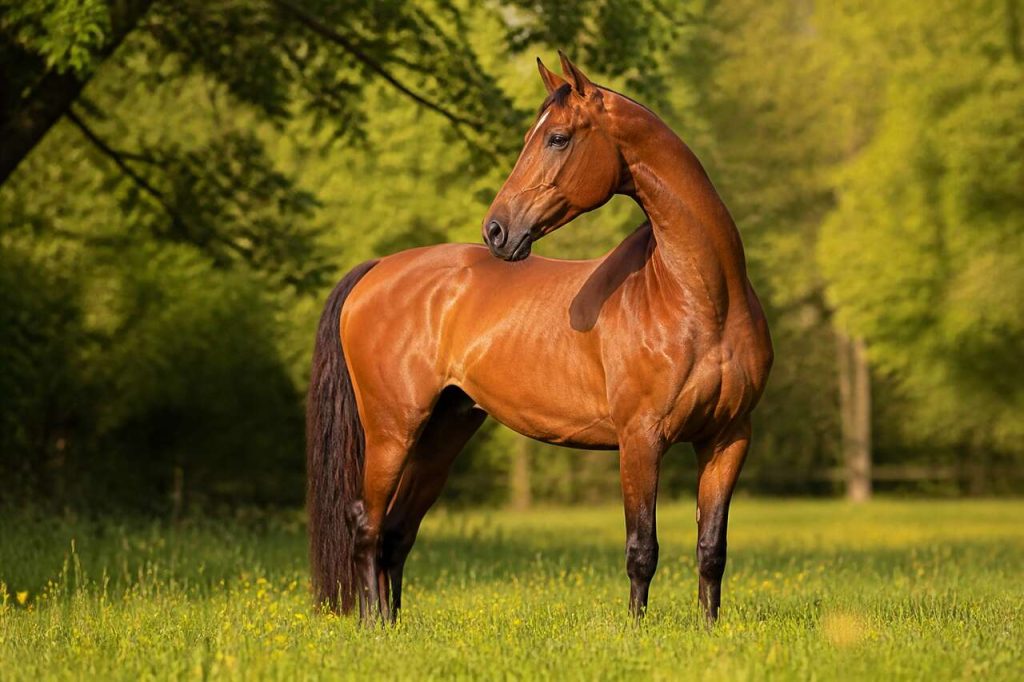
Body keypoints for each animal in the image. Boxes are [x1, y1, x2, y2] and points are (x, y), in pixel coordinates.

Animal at [306, 52, 773, 624]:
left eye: (557, 137)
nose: (496, 231)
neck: (701, 299)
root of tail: (376, 271)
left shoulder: (728, 437)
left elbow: (711, 549)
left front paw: (708, 629)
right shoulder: (641, 439)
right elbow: (642, 549)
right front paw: (637, 632)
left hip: (442, 433)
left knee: (395, 531)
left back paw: (392, 625)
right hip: (393, 429)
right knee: (367, 525)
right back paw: (373, 625)